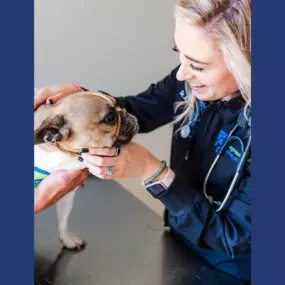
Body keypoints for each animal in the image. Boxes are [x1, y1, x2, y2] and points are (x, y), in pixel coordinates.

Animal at [33, 91, 138, 248]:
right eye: (110, 118)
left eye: (117, 103)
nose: (124, 111)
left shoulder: (66, 196)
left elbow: (63, 221)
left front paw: (67, 239)